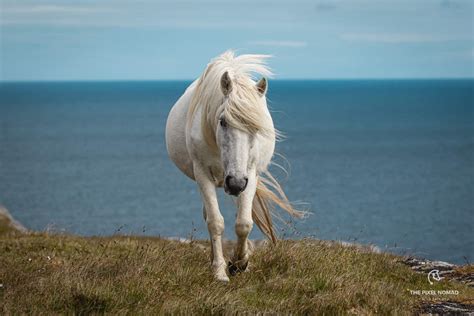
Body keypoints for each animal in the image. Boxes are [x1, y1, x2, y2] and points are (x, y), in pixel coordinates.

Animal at [167, 50, 300, 280]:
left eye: (256, 128)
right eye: (222, 121)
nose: (235, 183)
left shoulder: (250, 174)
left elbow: (244, 223)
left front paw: (239, 263)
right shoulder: (202, 173)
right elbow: (215, 222)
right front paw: (220, 271)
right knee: (209, 216)